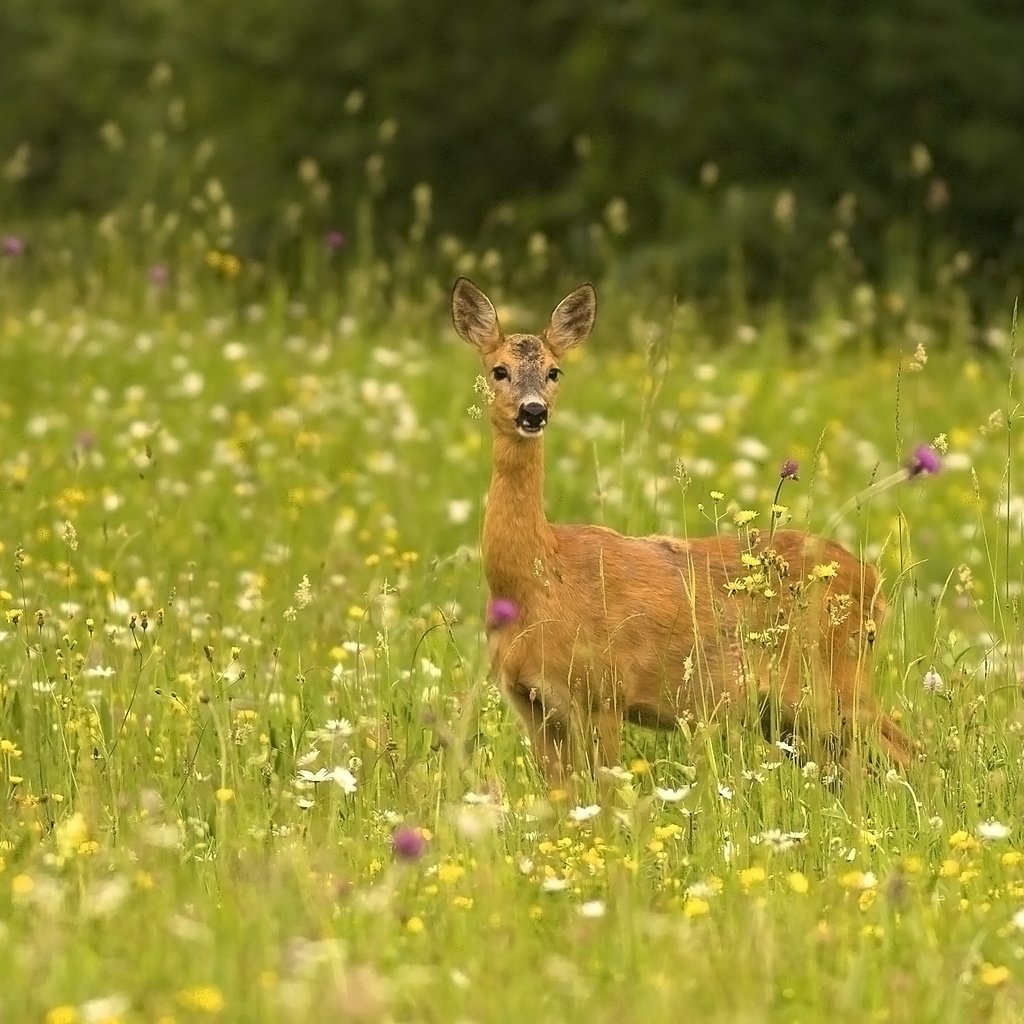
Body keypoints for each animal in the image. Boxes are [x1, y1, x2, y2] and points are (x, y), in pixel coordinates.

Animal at [452, 276, 917, 786]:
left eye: (555, 372)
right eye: (498, 370)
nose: (533, 412)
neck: (537, 581)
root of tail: (875, 582)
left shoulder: (603, 691)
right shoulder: (529, 702)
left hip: (831, 680)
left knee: (911, 751)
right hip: (788, 714)